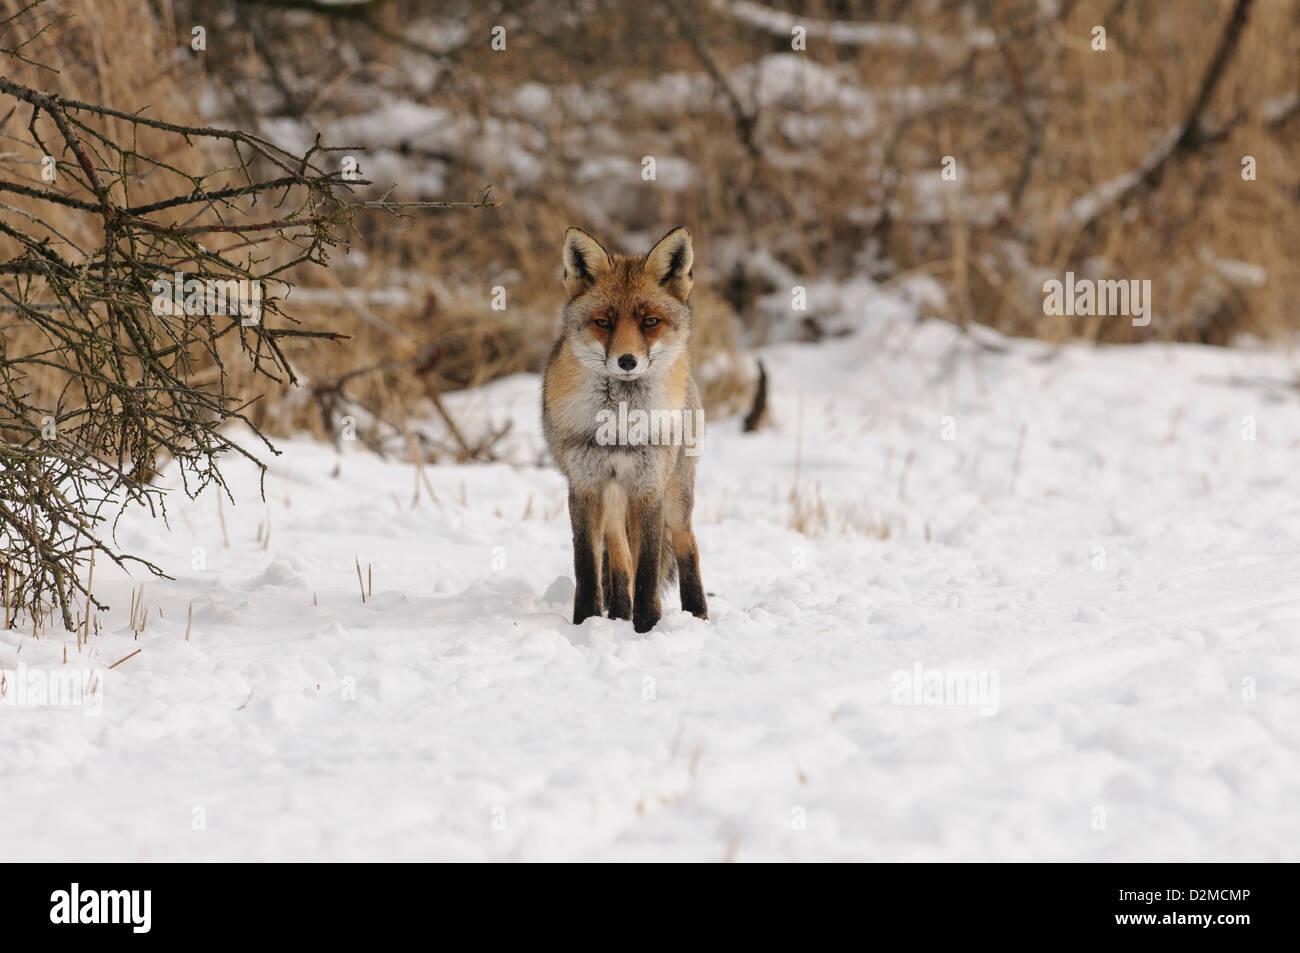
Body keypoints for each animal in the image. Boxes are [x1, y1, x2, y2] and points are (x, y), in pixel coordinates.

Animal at [540, 226, 712, 631]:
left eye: (650, 322)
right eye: (603, 322)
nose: (627, 361)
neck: (617, 425)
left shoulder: (648, 487)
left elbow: (647, 568)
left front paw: (647, 626)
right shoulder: (585, 486)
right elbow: (588, 568)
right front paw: (586, 623)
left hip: (676, 492)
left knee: (687, 542)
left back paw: (696, 614)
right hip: (614, 497)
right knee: (618, 553)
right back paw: (619, 612)